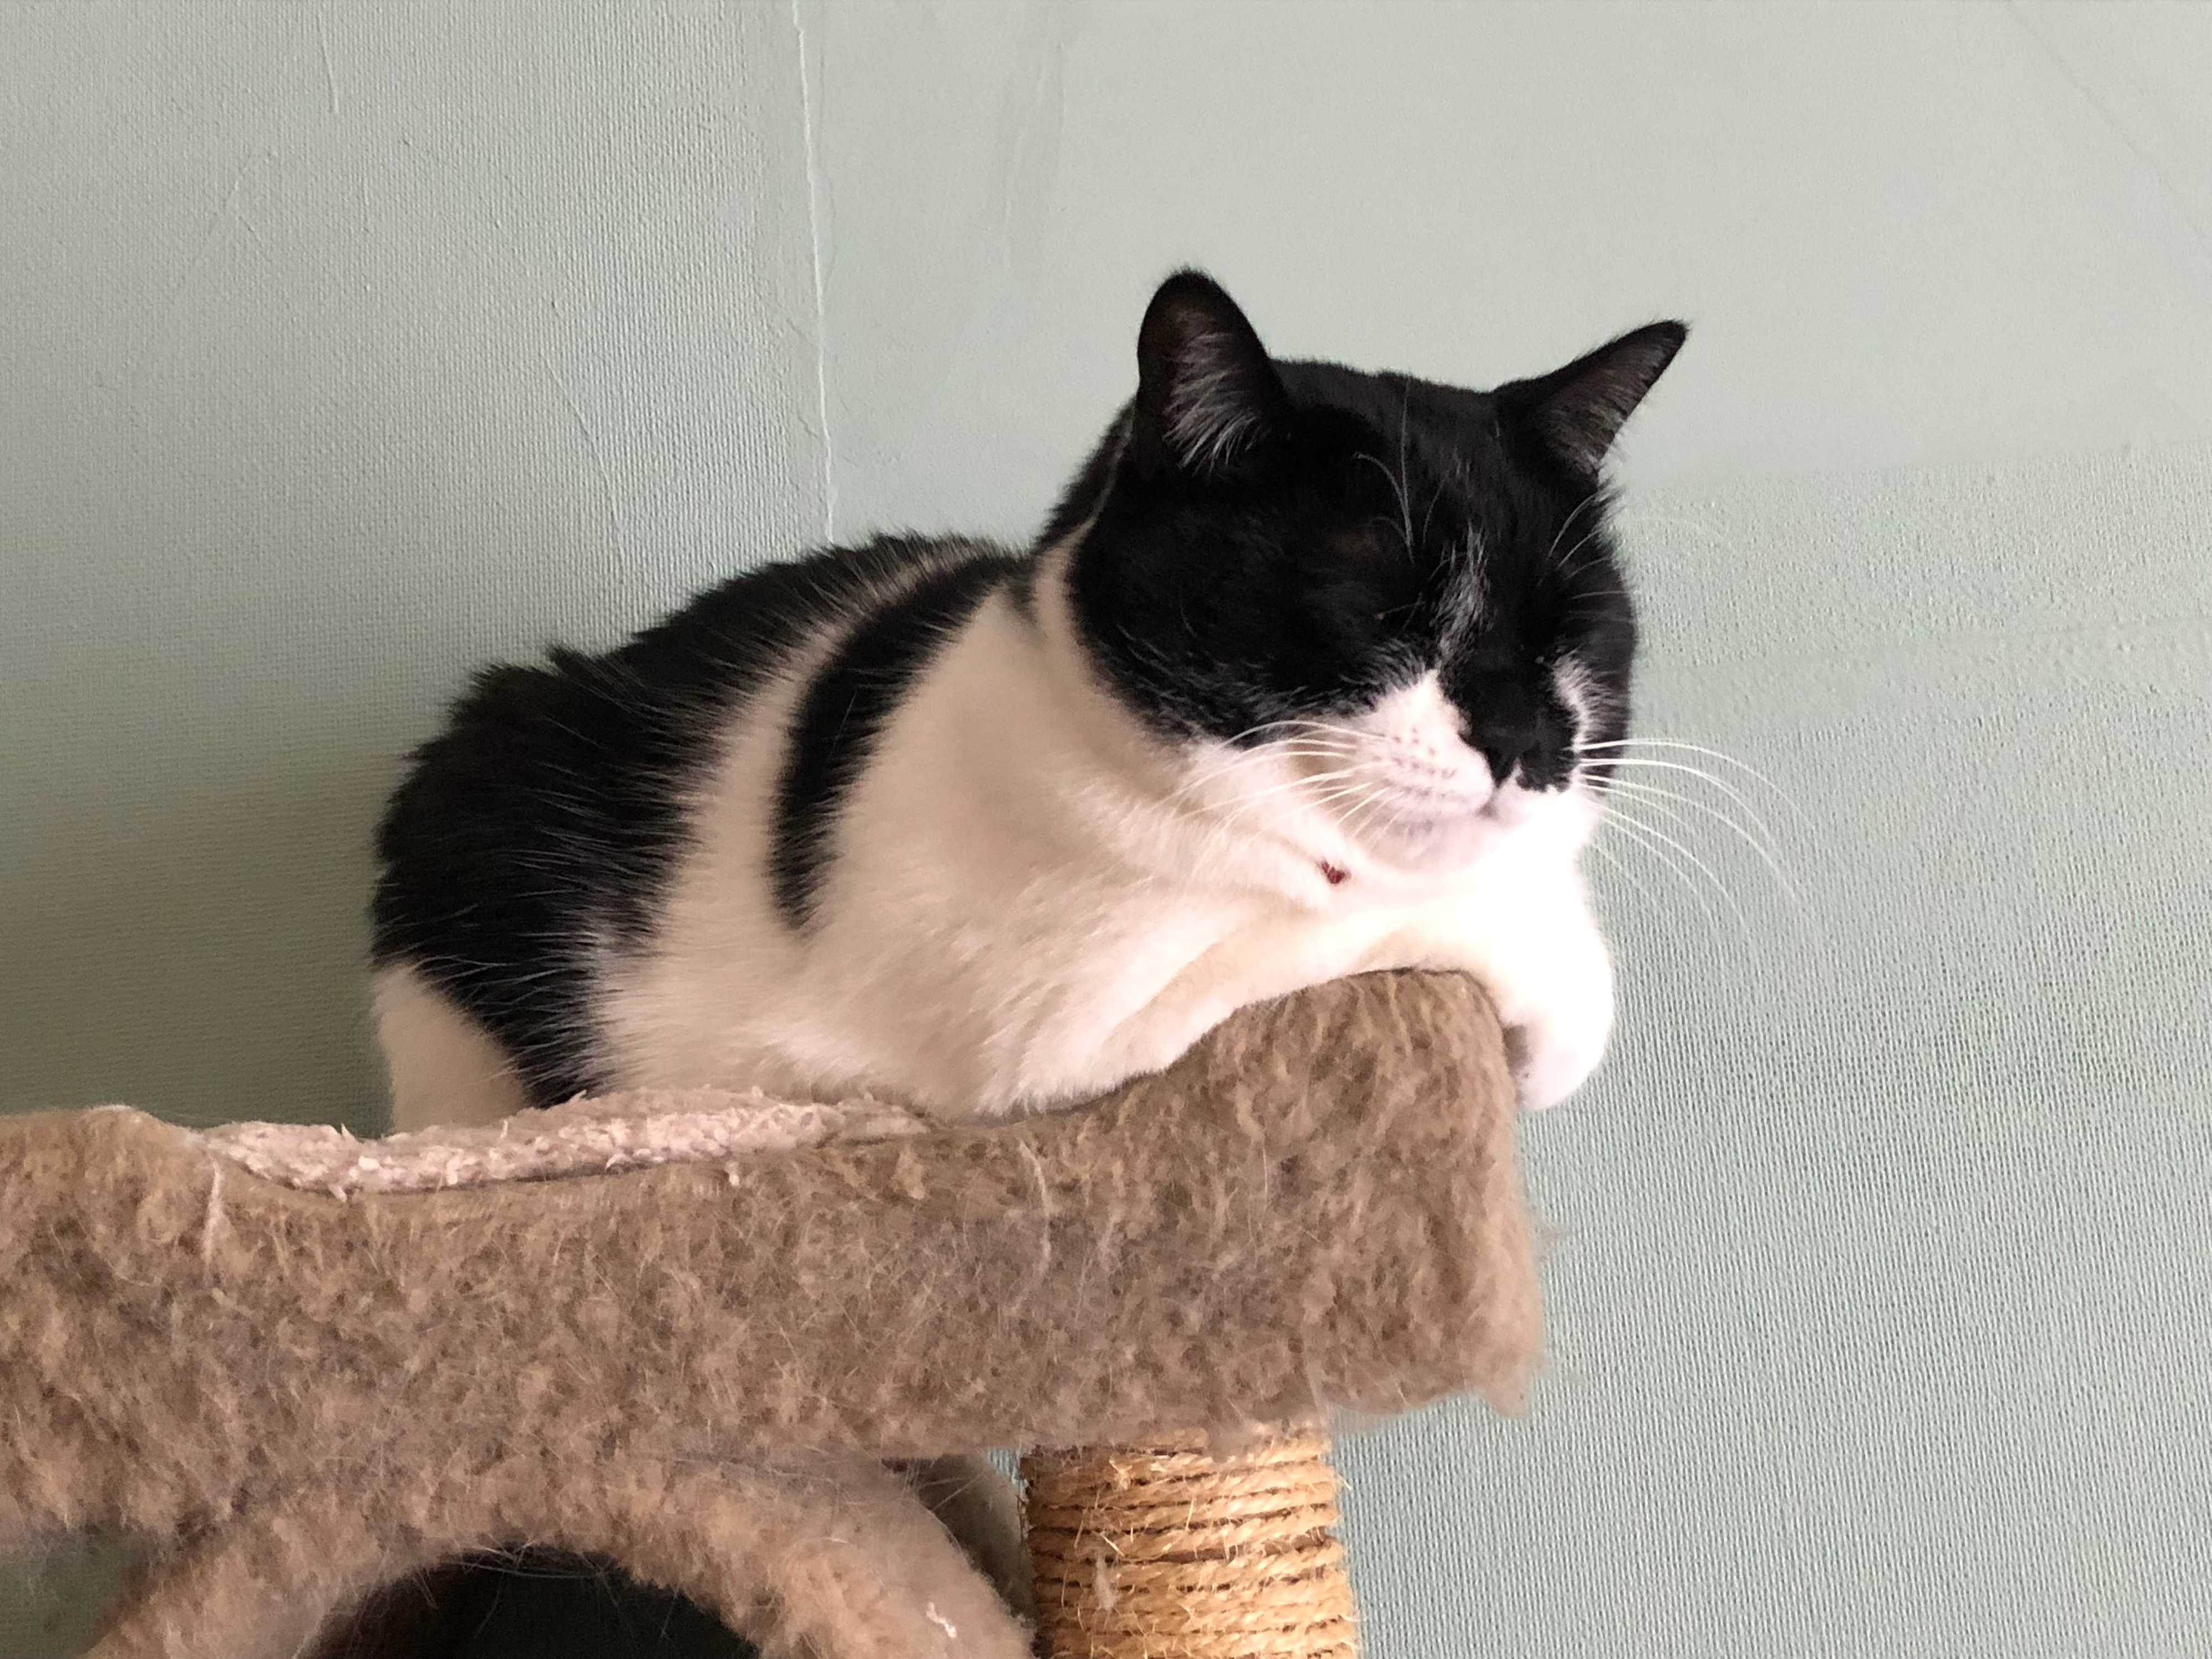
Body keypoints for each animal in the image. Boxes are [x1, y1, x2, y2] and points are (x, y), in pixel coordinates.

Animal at [370, 270, 1683, 1132]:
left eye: (1570, 637)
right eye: (1378, 610)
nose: (1524, 738)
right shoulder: (1062, 1012)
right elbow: (1354, 927)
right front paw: (1542, 977)